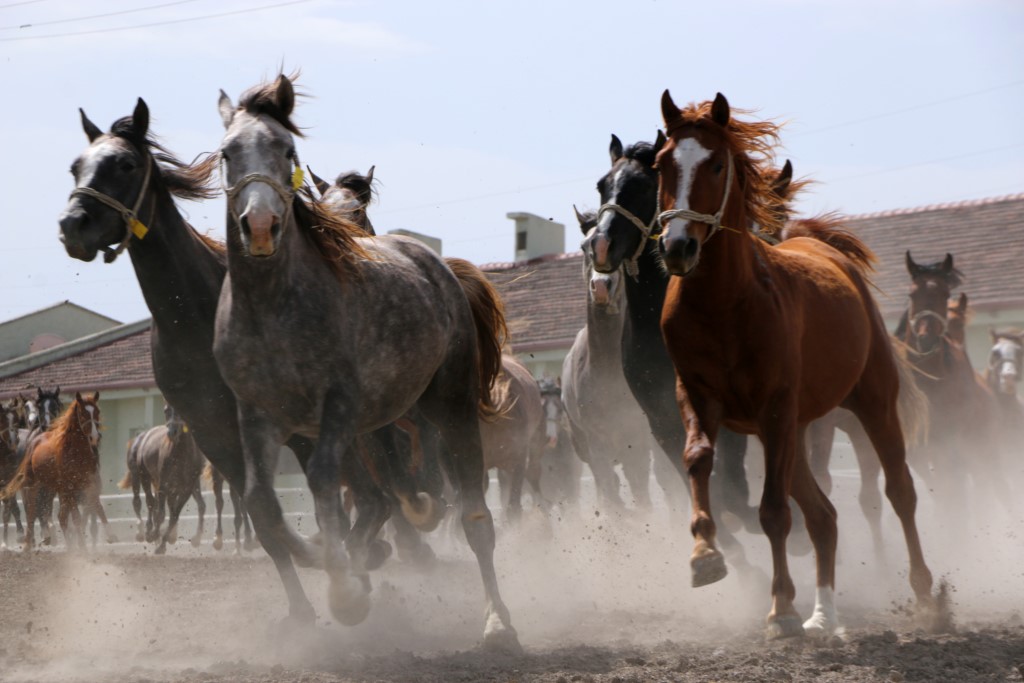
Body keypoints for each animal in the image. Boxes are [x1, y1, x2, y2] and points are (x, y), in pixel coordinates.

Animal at [216, 76, 520, 651]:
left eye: (286, 150)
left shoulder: (339, 404)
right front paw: (336, 565)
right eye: (227, 153)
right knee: (380, 498)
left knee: (474, 517)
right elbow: (262, 503)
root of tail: (441, 268)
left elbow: (323, 483)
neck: (273, 305)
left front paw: (346, 591)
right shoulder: (255, 413)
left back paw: (499, 623)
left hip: (450, 408)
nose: (261, 225)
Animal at [647, 93, 937, 638]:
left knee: (900, 491)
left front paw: (780, 608)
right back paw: (823, 617)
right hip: (792, 431)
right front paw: (704, 555)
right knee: (824, 515)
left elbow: (774, 511)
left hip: (870, 403)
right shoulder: (697, 395)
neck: (724, 302)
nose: (677, 247)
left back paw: (927, 596)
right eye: (662, 164)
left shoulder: (775, 406)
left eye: (716, 164)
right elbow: (697, 458)